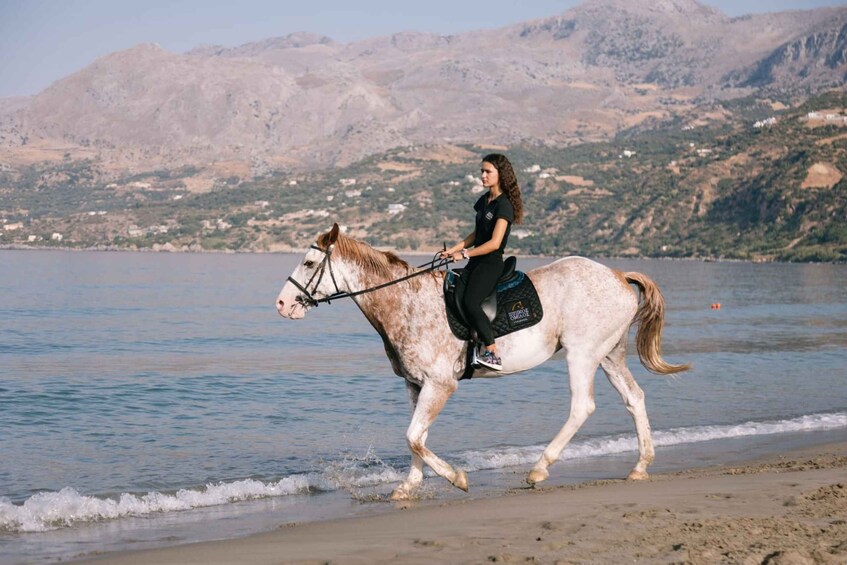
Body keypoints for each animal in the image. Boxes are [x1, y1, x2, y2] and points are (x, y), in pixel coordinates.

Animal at [276, 224, 688, 498]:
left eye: (309, 262)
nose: (282, 304)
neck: (407, 302)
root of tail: (618, 275)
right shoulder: (416, 385)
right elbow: (415, 437)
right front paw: (408, 487)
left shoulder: (441, 384)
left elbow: (413, 436)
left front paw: (456, 477)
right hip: (609, 354)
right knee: (634, 399)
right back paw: (640, 467)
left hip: (583, 353)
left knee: (582, 406)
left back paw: (539, 469)